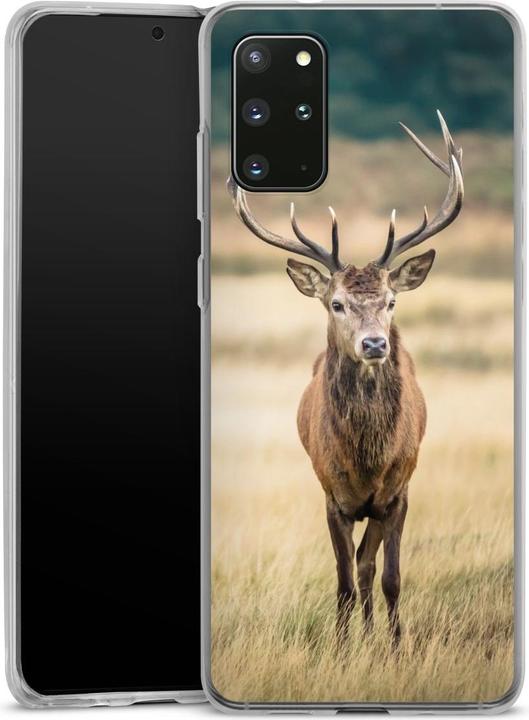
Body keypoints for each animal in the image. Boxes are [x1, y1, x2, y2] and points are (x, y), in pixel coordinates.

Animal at [228, 111, 464, 645]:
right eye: (336, 303)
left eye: (391, 302)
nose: (375, 344)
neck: (366, 461)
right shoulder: (331, 495)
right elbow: (341, 582)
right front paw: (339, 646)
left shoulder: (397, 492)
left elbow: (388, 576)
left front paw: (395, 646)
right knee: (356, 568)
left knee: (368, 565)